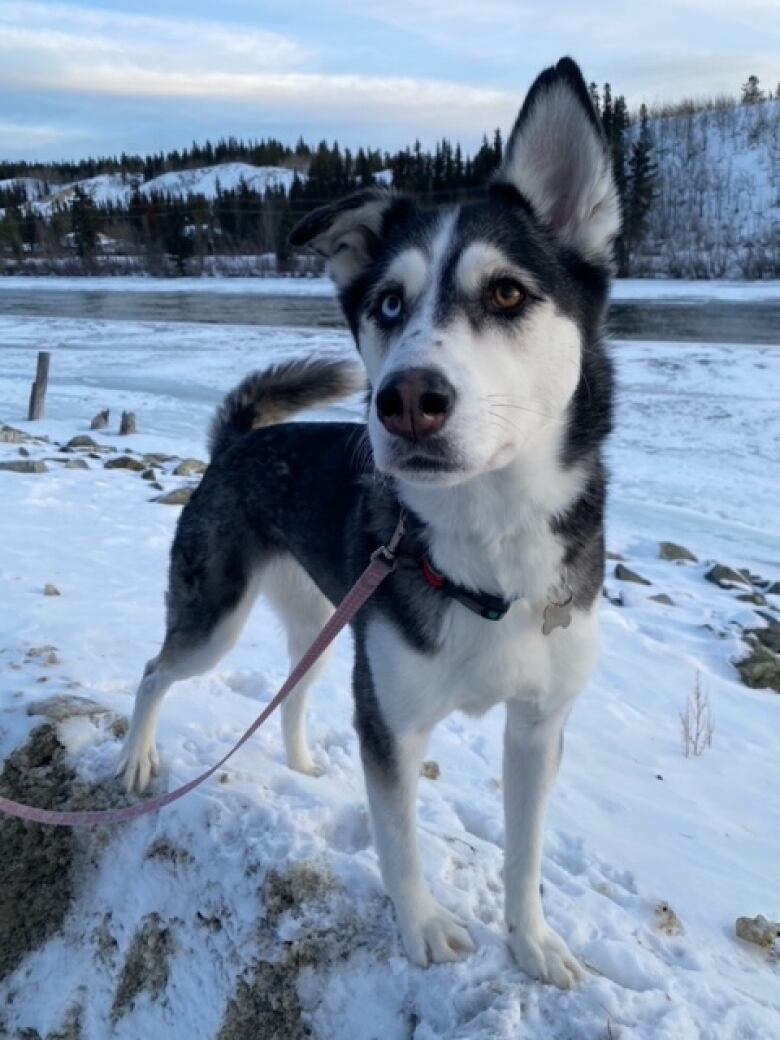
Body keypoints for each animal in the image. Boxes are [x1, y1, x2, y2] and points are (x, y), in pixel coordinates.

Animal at [117, 59, 615, 990]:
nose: (407, 400)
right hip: (217, 617)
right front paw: (421, 928)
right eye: (388, 303)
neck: (488, 549)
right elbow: (399, 840)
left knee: (292, 690)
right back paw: (137, 758)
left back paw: (303, 764)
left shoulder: (539, 726)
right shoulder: (393, 723)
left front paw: (531, 942)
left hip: (325, 619)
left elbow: (525, 854)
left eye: (507, 292)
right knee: (156, 670)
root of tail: (240, 439)